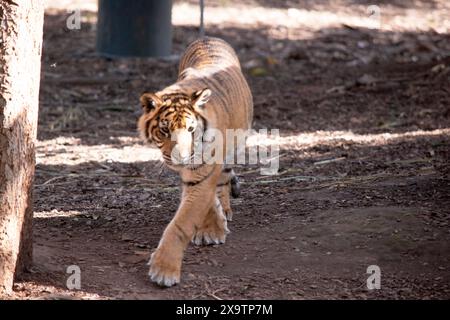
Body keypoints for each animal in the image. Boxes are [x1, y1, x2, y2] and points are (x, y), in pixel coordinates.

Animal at [135, 36, 255, 286]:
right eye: (164, 130)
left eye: (191, 129)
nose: (181, 157)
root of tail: (209, 37)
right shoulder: (196, 177)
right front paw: (214, 226)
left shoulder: (203, 174)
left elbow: (180, 224)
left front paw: (164, 270)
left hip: (235, 146)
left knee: (224, 178)